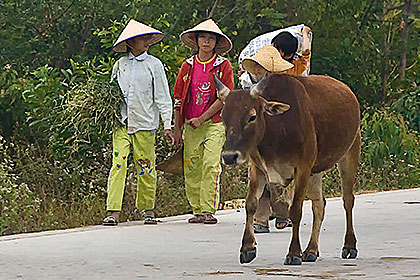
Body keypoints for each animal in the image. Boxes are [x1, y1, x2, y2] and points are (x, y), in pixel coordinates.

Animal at [215, 73, 360, 266]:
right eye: (224, 117)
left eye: (252, 117)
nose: (229, 156)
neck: (276, 132)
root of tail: (349, 92)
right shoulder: (258, 169)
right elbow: (250, 204)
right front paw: (247, 248)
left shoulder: (303, 168)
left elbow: (295, 210)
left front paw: (293, 253)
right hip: (315, 172)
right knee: (319, 204)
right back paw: (311, 250)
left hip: (349, 153)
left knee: (347, 200)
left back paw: (349, 246)